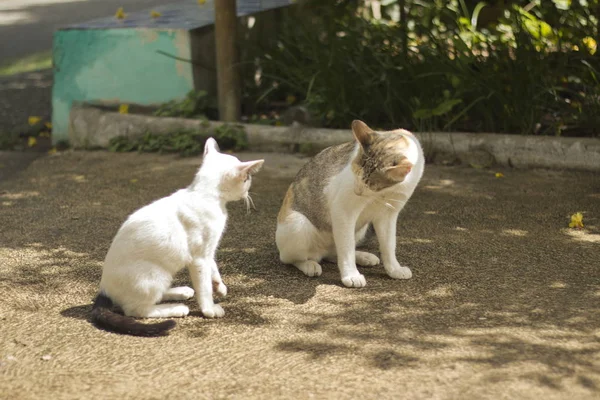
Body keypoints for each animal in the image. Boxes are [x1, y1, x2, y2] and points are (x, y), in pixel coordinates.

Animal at [92, 138, 264, 334]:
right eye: (247, 178)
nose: (248, 190)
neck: (204, 196)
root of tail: (103, 290)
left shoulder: (209, 250)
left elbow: (213, 267)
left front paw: (219, 286)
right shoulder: (199, 258)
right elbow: (204, 286)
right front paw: (209, 309)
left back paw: (180, 292)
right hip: (155, 274)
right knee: (136, 309)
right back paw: (175, 308)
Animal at [274, 119, 424, 288]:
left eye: (371, 185)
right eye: (355, 173)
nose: (357, 191)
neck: (387, 192)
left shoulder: (388, 215)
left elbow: (389, 244)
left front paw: (394, 269)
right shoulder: (343, 210)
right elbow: (346, 248)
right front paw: (351, 275)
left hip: (361, 229)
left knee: (334, 253)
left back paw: (363, 257)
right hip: (297, 223)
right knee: (290, 258)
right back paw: (309, 265)